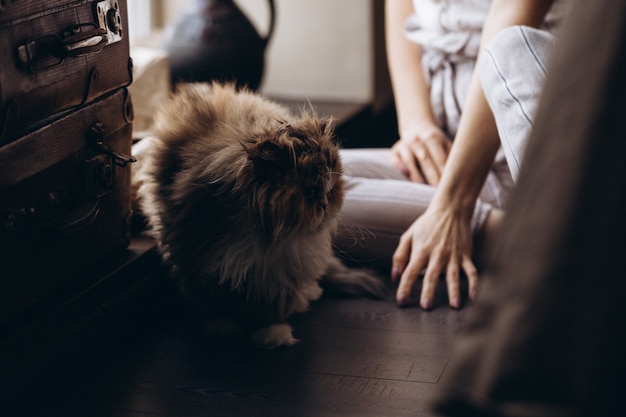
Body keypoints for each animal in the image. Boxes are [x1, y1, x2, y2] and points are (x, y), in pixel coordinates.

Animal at [134, 82, 382, 348]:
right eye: (309, 192)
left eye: (332, 188)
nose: (326, 205)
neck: (262, 238)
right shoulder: (203, 257)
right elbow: (218, 300)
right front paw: (224, 329)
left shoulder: (279, 268)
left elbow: (274, 305)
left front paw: (272, 335)